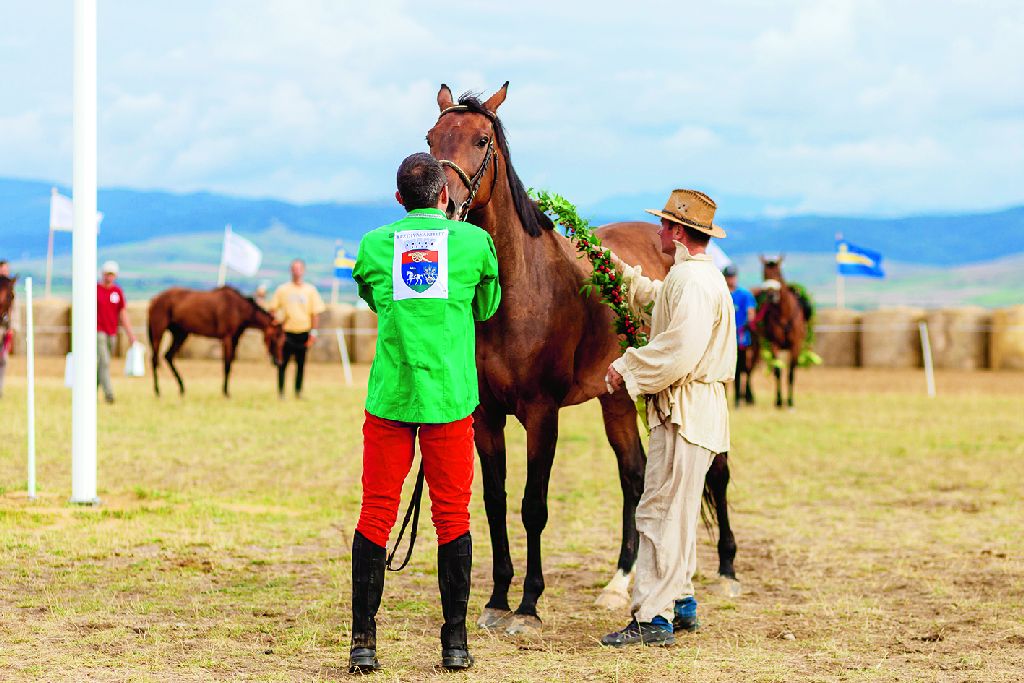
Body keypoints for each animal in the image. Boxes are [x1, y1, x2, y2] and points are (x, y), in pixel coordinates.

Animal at [148, 286, 284, 395]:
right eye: (274, 338)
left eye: (283, 341)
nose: (278, 362)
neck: (238, 308)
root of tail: (154, 300)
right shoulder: (227, 338)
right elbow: (227, 365)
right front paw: (226, 392)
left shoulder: (235, 339)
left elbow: (230, 364)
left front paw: (226, 390)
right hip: (158, 332)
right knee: (155, 359)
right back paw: (157, 391)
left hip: (180, 334)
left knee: (168, 356)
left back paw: (182, 388)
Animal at [428, 83, 741, 634]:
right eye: (430, 136)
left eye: (481, 139)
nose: (442, 206)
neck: (518, 289)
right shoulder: (486, 417)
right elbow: (494, 502)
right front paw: (496, 600)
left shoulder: (541, 414)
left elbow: (533, 506)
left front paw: (528, 606)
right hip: (614, 399)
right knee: (635, 476)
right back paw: (619, 583)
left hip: (713, 390)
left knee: (716, 472)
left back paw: (725, 572)